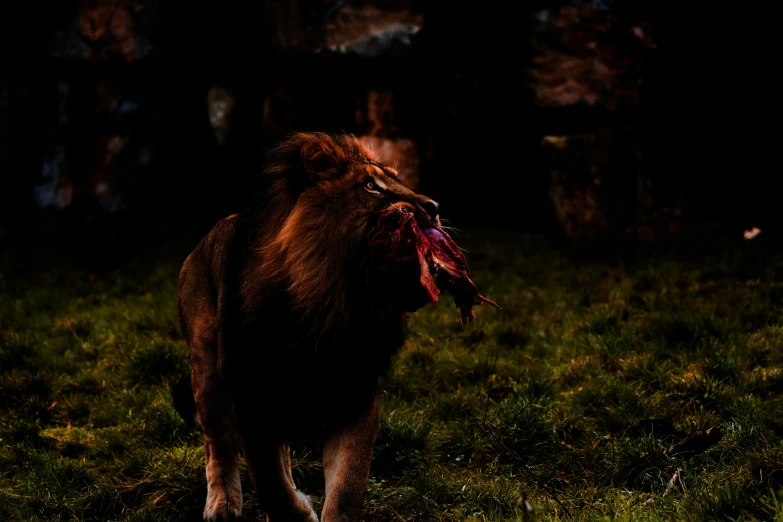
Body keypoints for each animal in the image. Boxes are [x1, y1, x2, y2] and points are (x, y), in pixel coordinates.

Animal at [178, 132, 444, 516]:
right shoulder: (250, 397)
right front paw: (299, 511)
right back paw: (223, 503)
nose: (435, 207)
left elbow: (347, 489)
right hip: (207, 370)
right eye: (370, 186)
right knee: (219, 442)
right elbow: (271, 485)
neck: (330, 306)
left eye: (395, 178)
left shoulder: (357, 396)